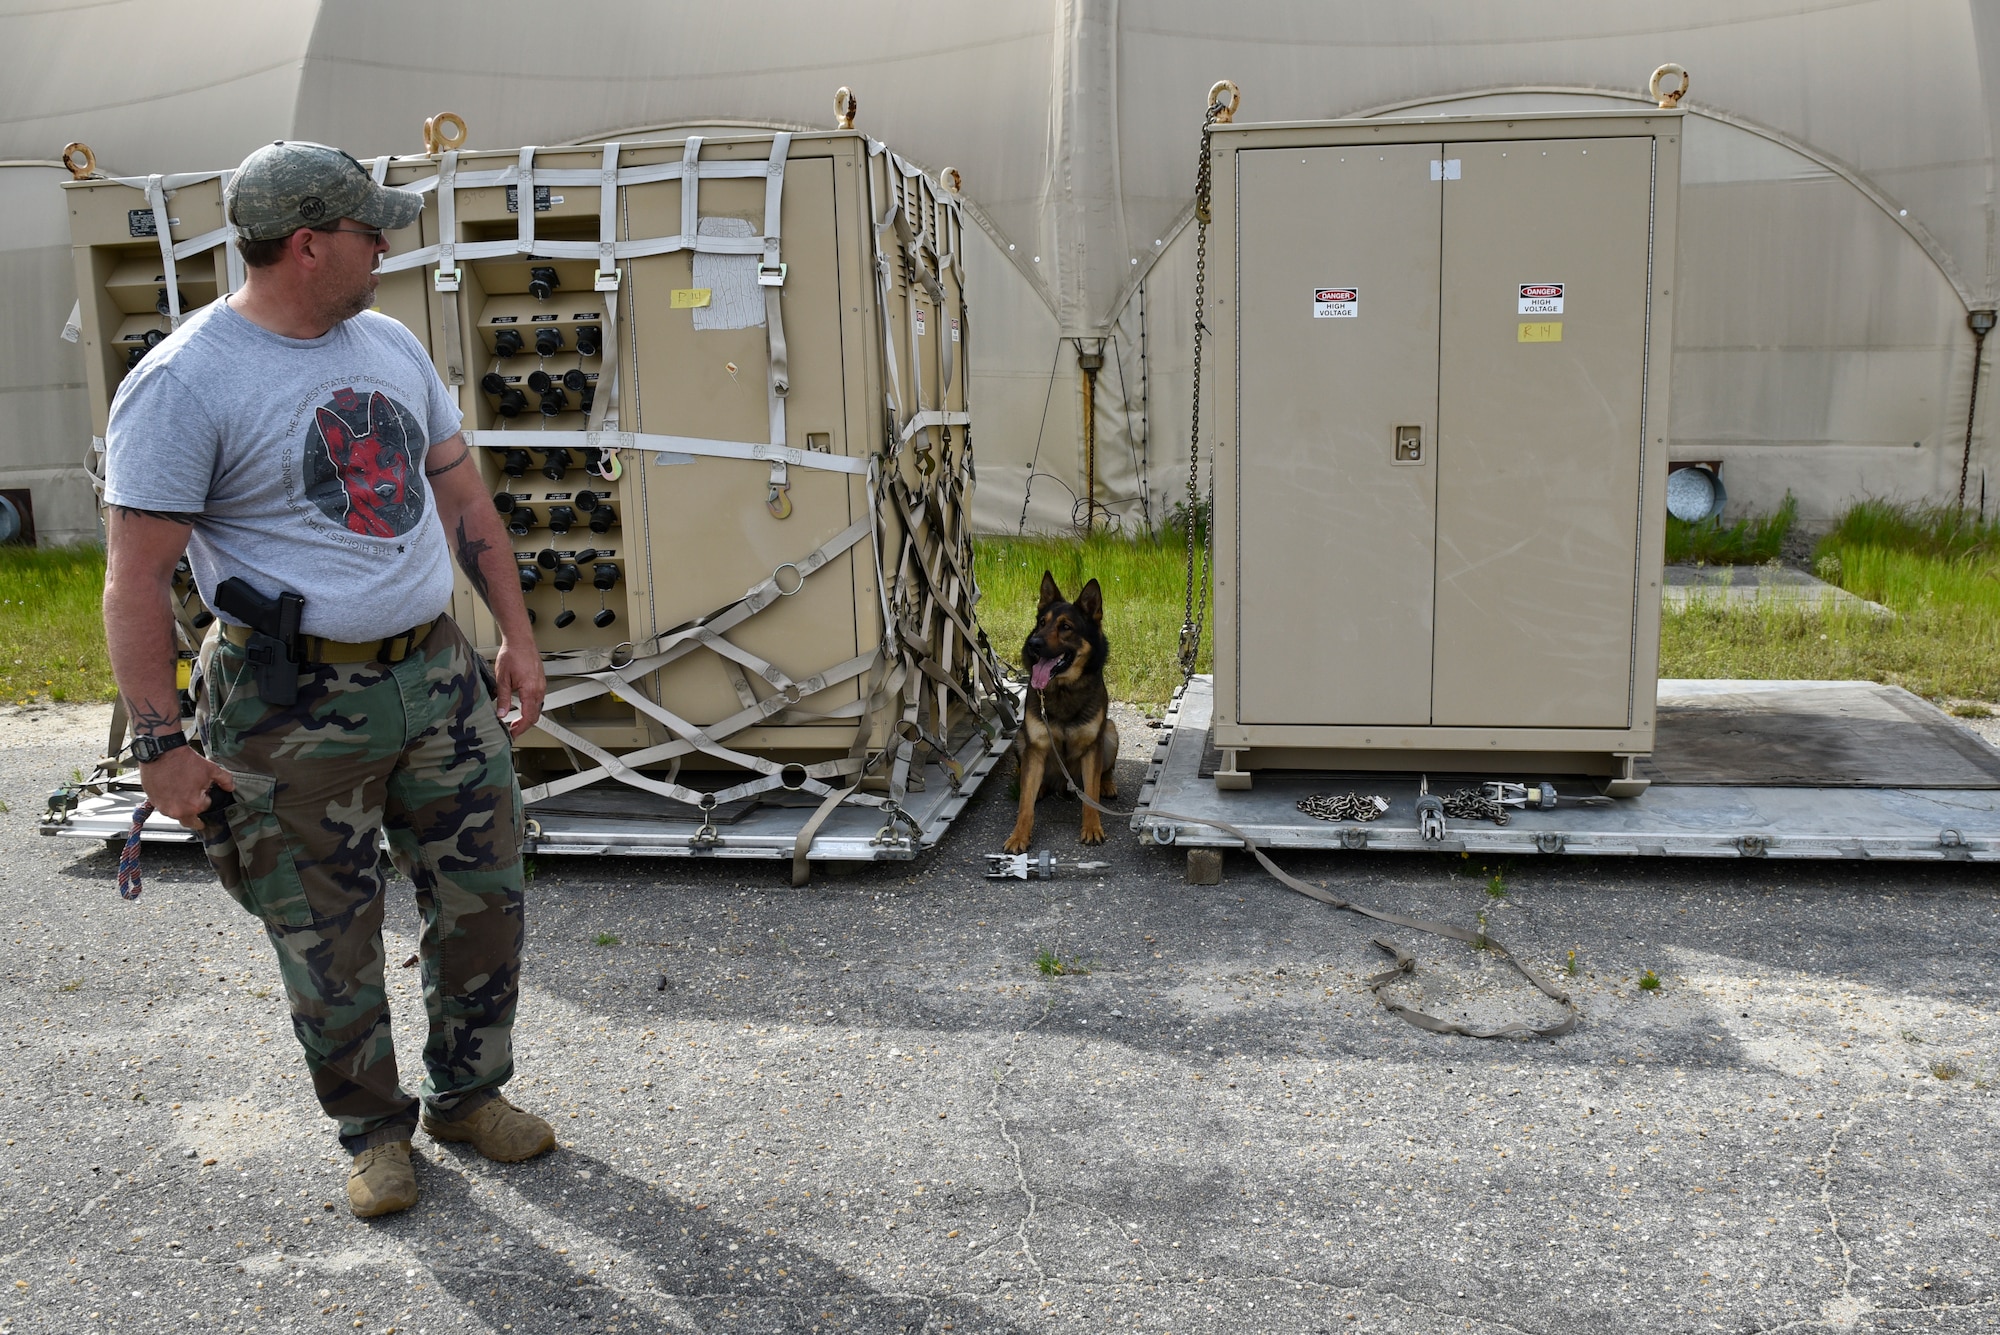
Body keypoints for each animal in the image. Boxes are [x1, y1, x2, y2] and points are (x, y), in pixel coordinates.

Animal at [1008, 567, 1120, 851]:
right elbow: (1025, 806)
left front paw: (1092, 828)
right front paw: (1018, 836)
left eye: (1066, 627)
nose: (1034, 643)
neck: (1063, 690)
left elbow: (1090, 796)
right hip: (1021, 739)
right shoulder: (1036, 748)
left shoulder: (1092, 748)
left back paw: (1107, 784)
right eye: (1041, 622)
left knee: (1104, 772)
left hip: (1110, 732)